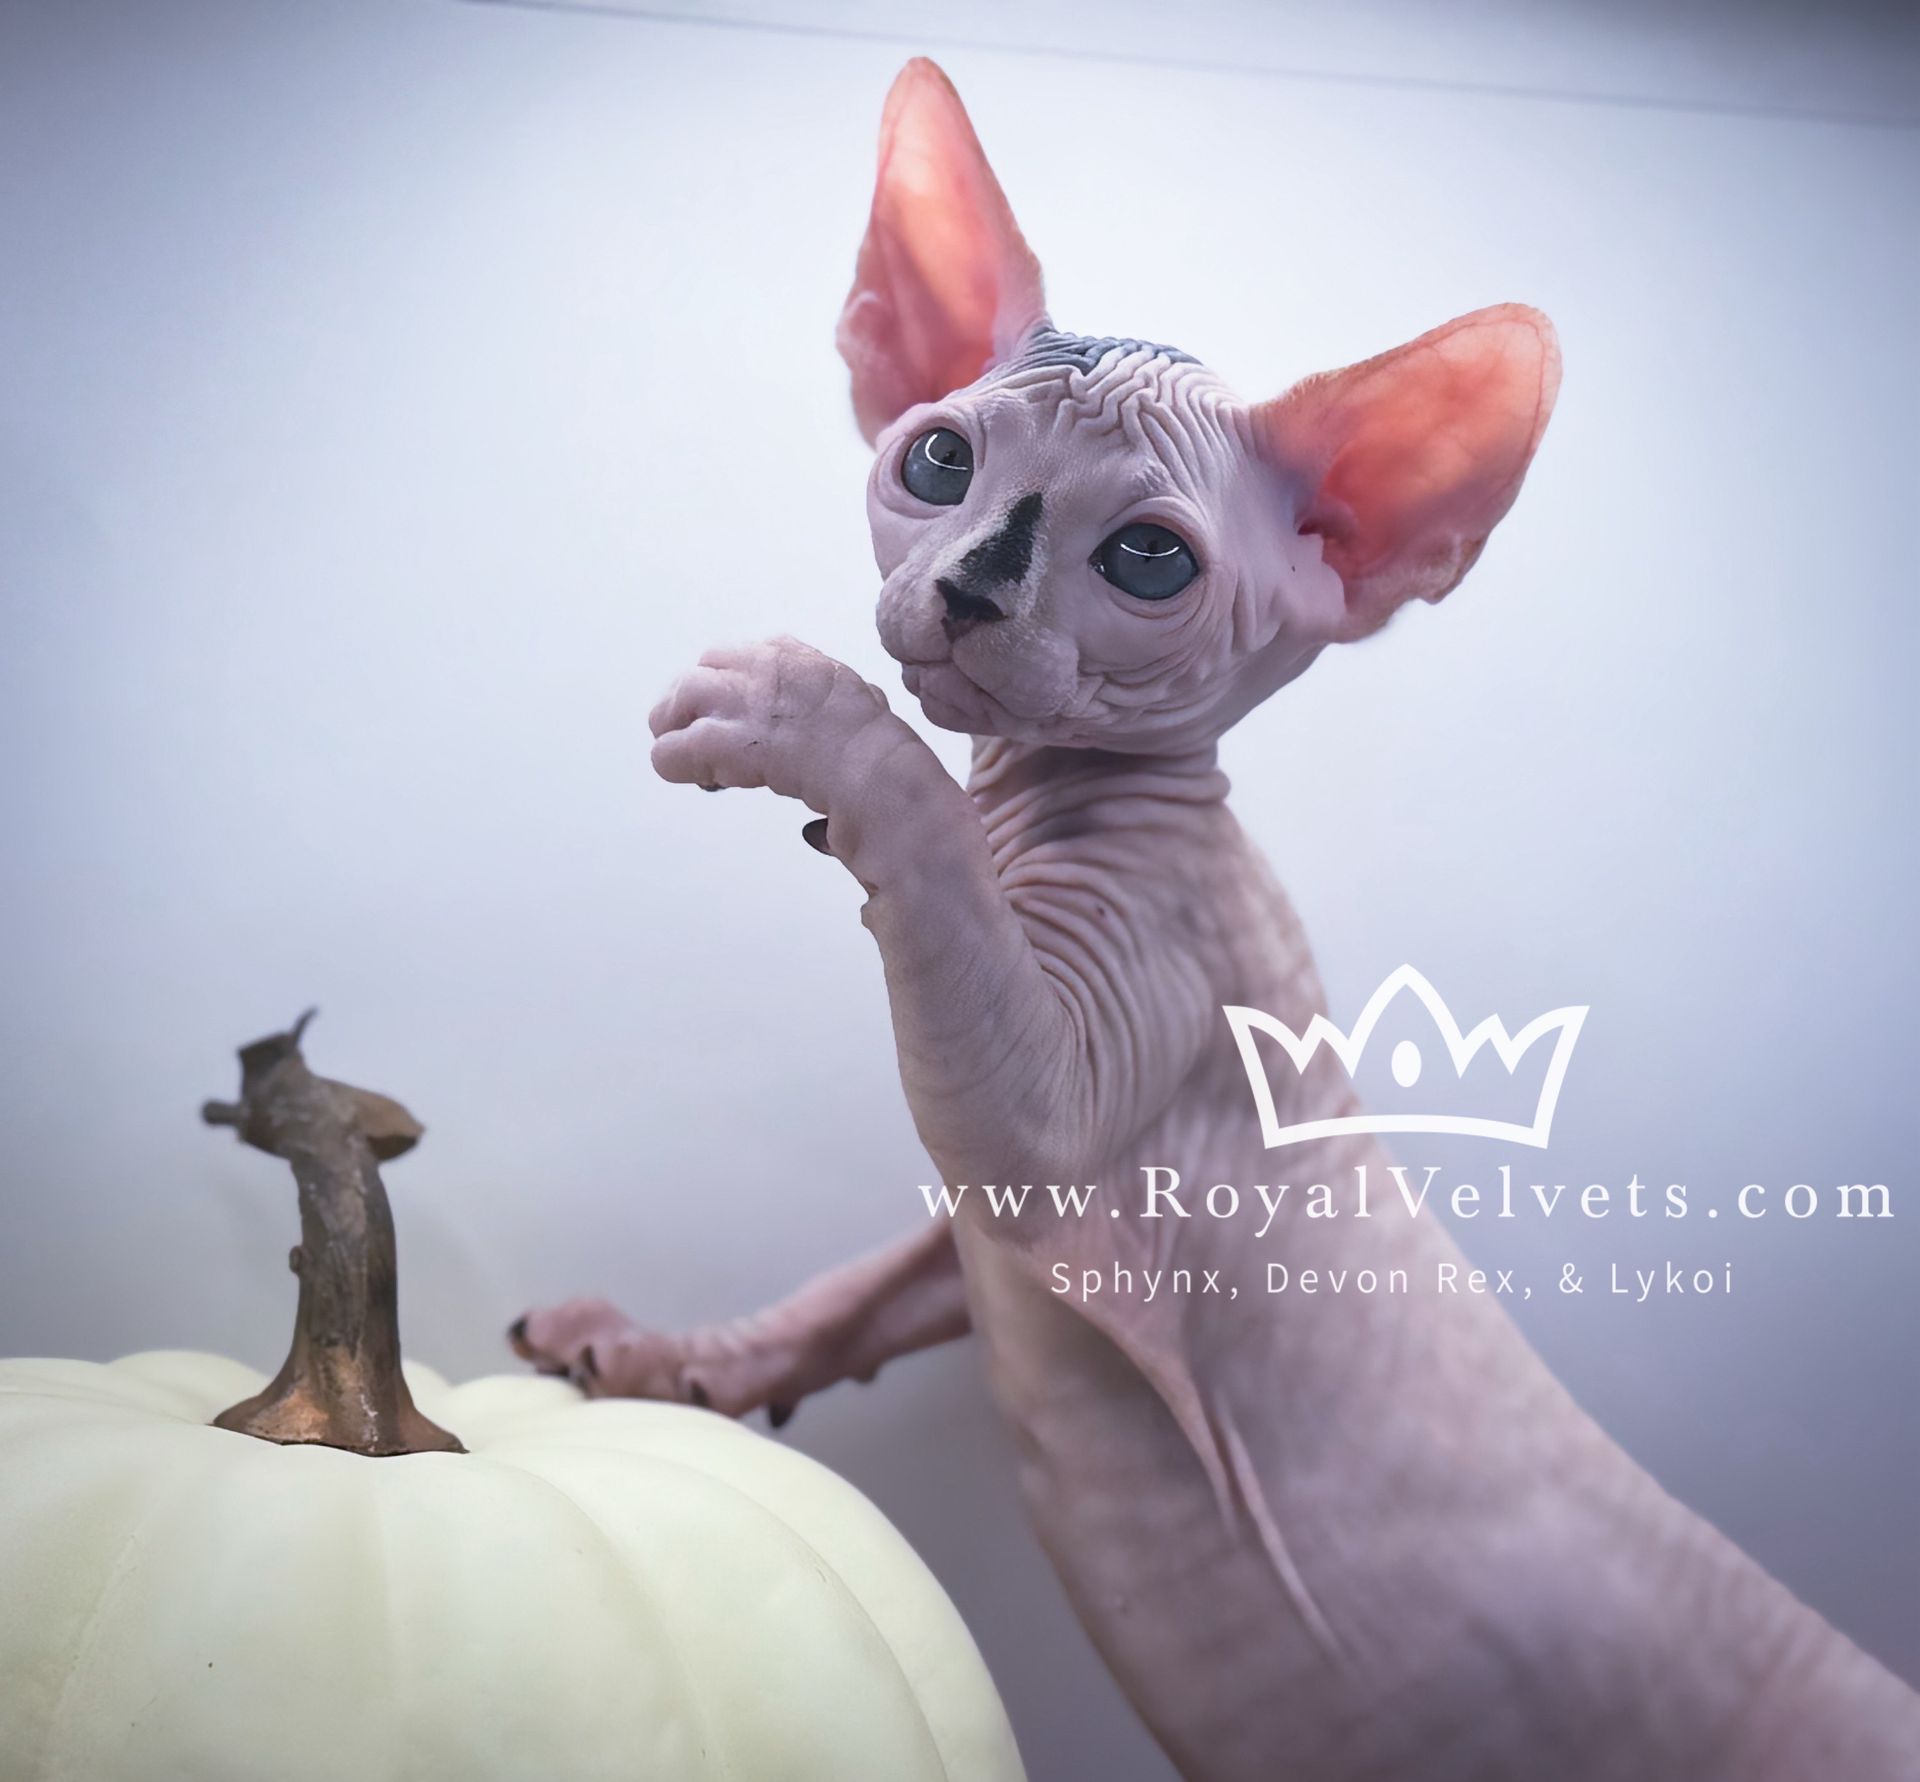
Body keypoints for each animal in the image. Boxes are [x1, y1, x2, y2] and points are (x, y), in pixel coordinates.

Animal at [514, 59, 1920, 1782]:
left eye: (1145, 559)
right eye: (938, 463)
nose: (970, 590)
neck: (1051, 804)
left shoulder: (1081, 1073)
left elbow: (926, 859)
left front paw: (797, 712)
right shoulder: (998, 1220)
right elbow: (867, 1284)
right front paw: (676, 1356)